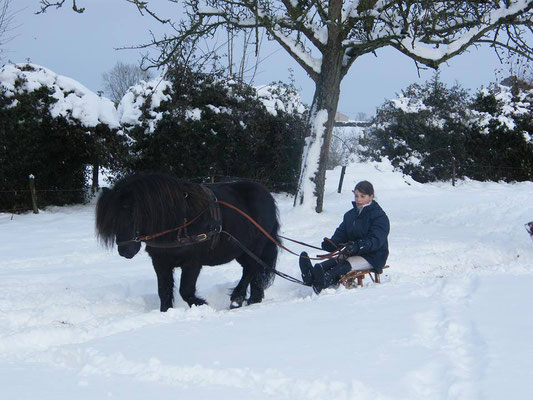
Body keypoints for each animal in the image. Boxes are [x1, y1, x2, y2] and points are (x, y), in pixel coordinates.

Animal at [96, 173, 280, 310]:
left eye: (133, 214)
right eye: (112, 220)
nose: (125, 251)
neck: (179, 221)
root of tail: (266, 195)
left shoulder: (192, 262)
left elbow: (186, 290)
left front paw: (202, 304)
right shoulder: (160, 262)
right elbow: (164, 291)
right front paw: (166, 312)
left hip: (255, 247)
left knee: (251, 269)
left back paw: (237, 299)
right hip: (242, 251)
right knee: (255, 271)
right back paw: (254, 299)